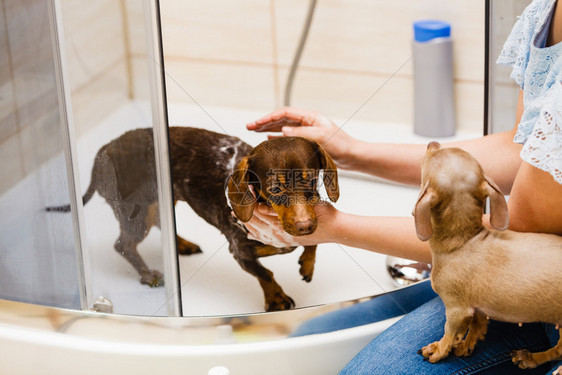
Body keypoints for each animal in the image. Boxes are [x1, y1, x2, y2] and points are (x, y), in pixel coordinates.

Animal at [412, 142, 560, 374]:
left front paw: (440, 349)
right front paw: (467, 344)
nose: (432, 143)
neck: (464, 241)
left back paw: (534, 359)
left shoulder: (456, 309)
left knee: (559, 351)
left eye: (433, 156)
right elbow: (477, 324)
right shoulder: (476, 306)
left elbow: (449, 333)